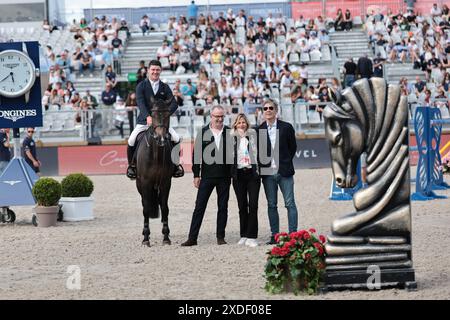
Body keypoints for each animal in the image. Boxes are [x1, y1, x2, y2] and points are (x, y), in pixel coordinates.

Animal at [135, 96, 174, 246]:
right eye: (153, 114)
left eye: (168, 114)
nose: (161, 138)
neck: (156, 153)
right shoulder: (145, 182)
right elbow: (146, 209)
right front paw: (146, 238)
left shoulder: (166, 182)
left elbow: (165, 208)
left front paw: (166, 236)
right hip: (139, 185)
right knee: (144, 204)